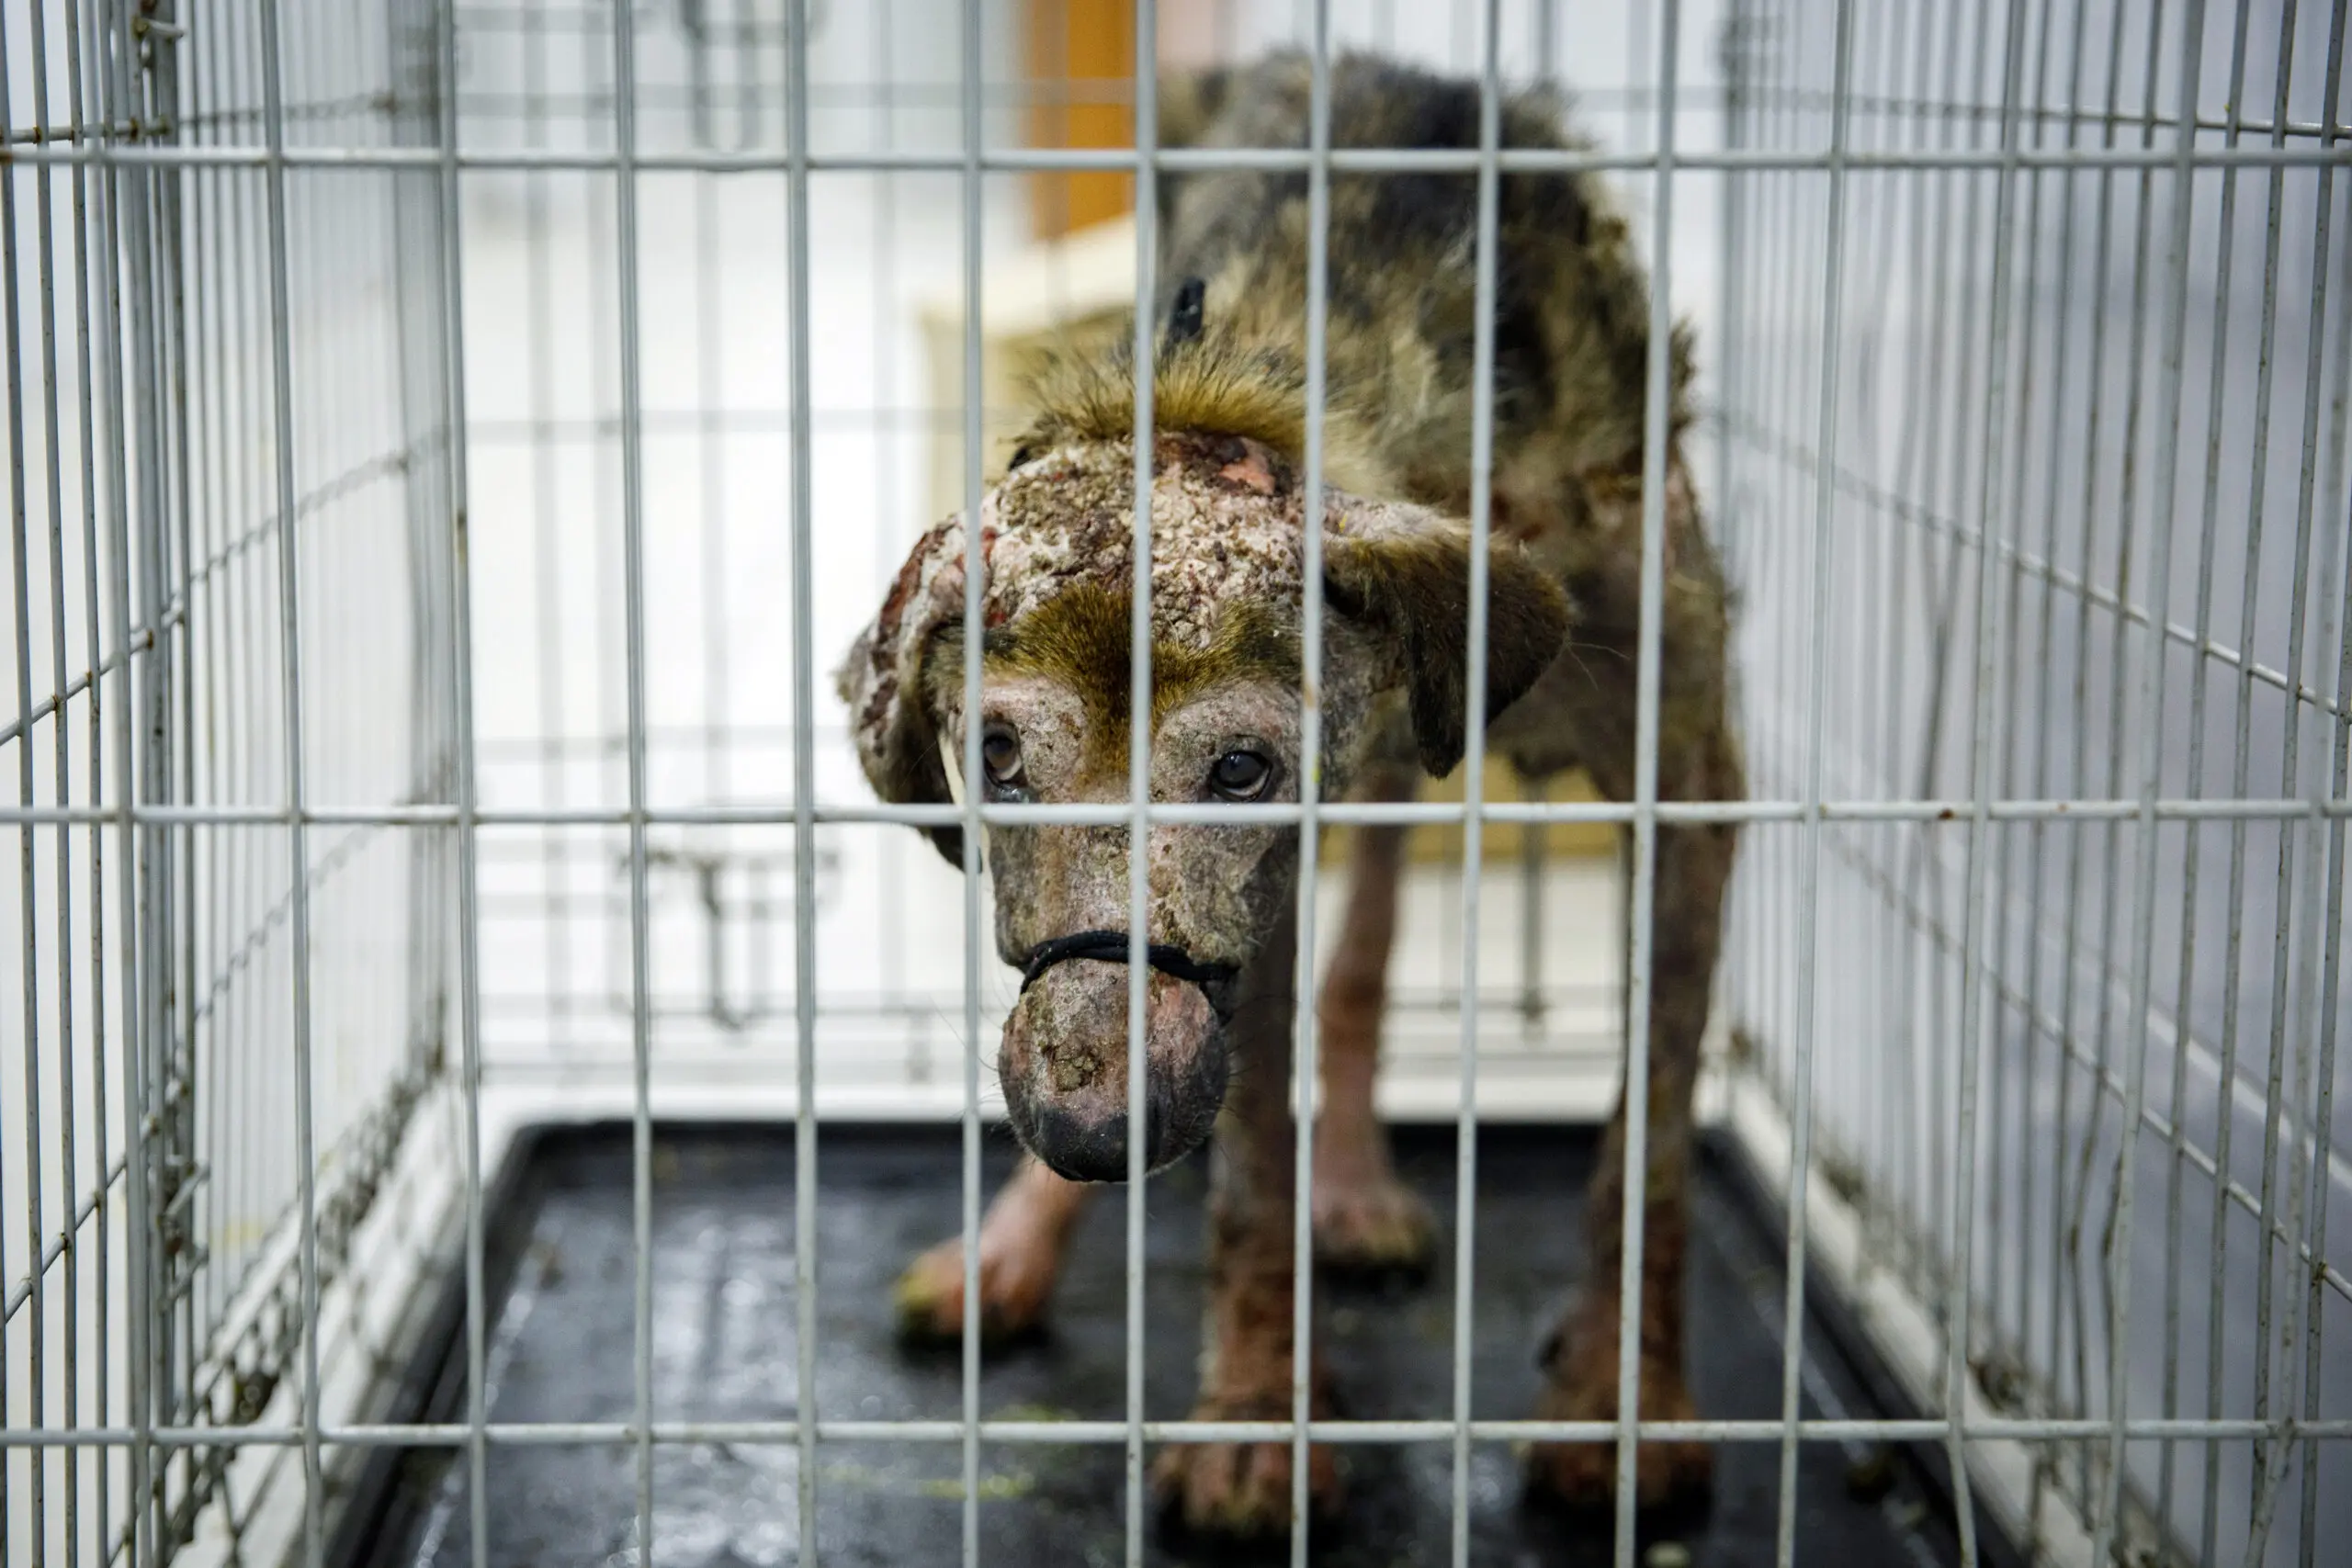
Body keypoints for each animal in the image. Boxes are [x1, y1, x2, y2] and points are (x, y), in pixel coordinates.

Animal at [837, 51, 1740, 1541]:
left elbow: (1652, 1143)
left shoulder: (1687, 785)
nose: (1086, 1117)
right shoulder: (1247, 921)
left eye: (1240, 768)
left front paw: (1625, 1402)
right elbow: (1253, 1159)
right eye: (1002, 754)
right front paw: (1259, 1412)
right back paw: (1019, 1243)